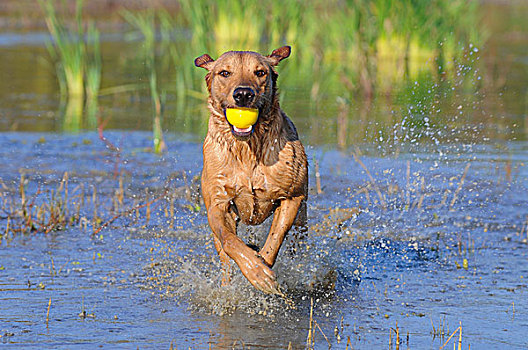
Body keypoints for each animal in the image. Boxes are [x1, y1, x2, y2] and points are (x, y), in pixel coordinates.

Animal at [196, 45, 308, 292]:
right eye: (224, 73)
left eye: (260, 72)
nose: (244, 94)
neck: (246, 149)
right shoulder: (218, 204)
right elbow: (230, 241)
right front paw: (255, 271)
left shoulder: (293, 197)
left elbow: (276, 235)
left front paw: (262, 268)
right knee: (225, 258)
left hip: (302, 220)